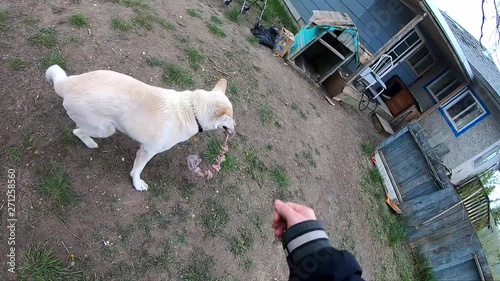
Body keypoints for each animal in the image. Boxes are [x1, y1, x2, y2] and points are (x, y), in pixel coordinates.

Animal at [45, 64, 236, 190]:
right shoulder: (148, 150)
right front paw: (137, 183)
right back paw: (90, 143)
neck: (192, 110)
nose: (236, 126)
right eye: (231, 117)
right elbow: (138, 169)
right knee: (77, 130)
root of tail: (67, 84)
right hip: (105, 129)